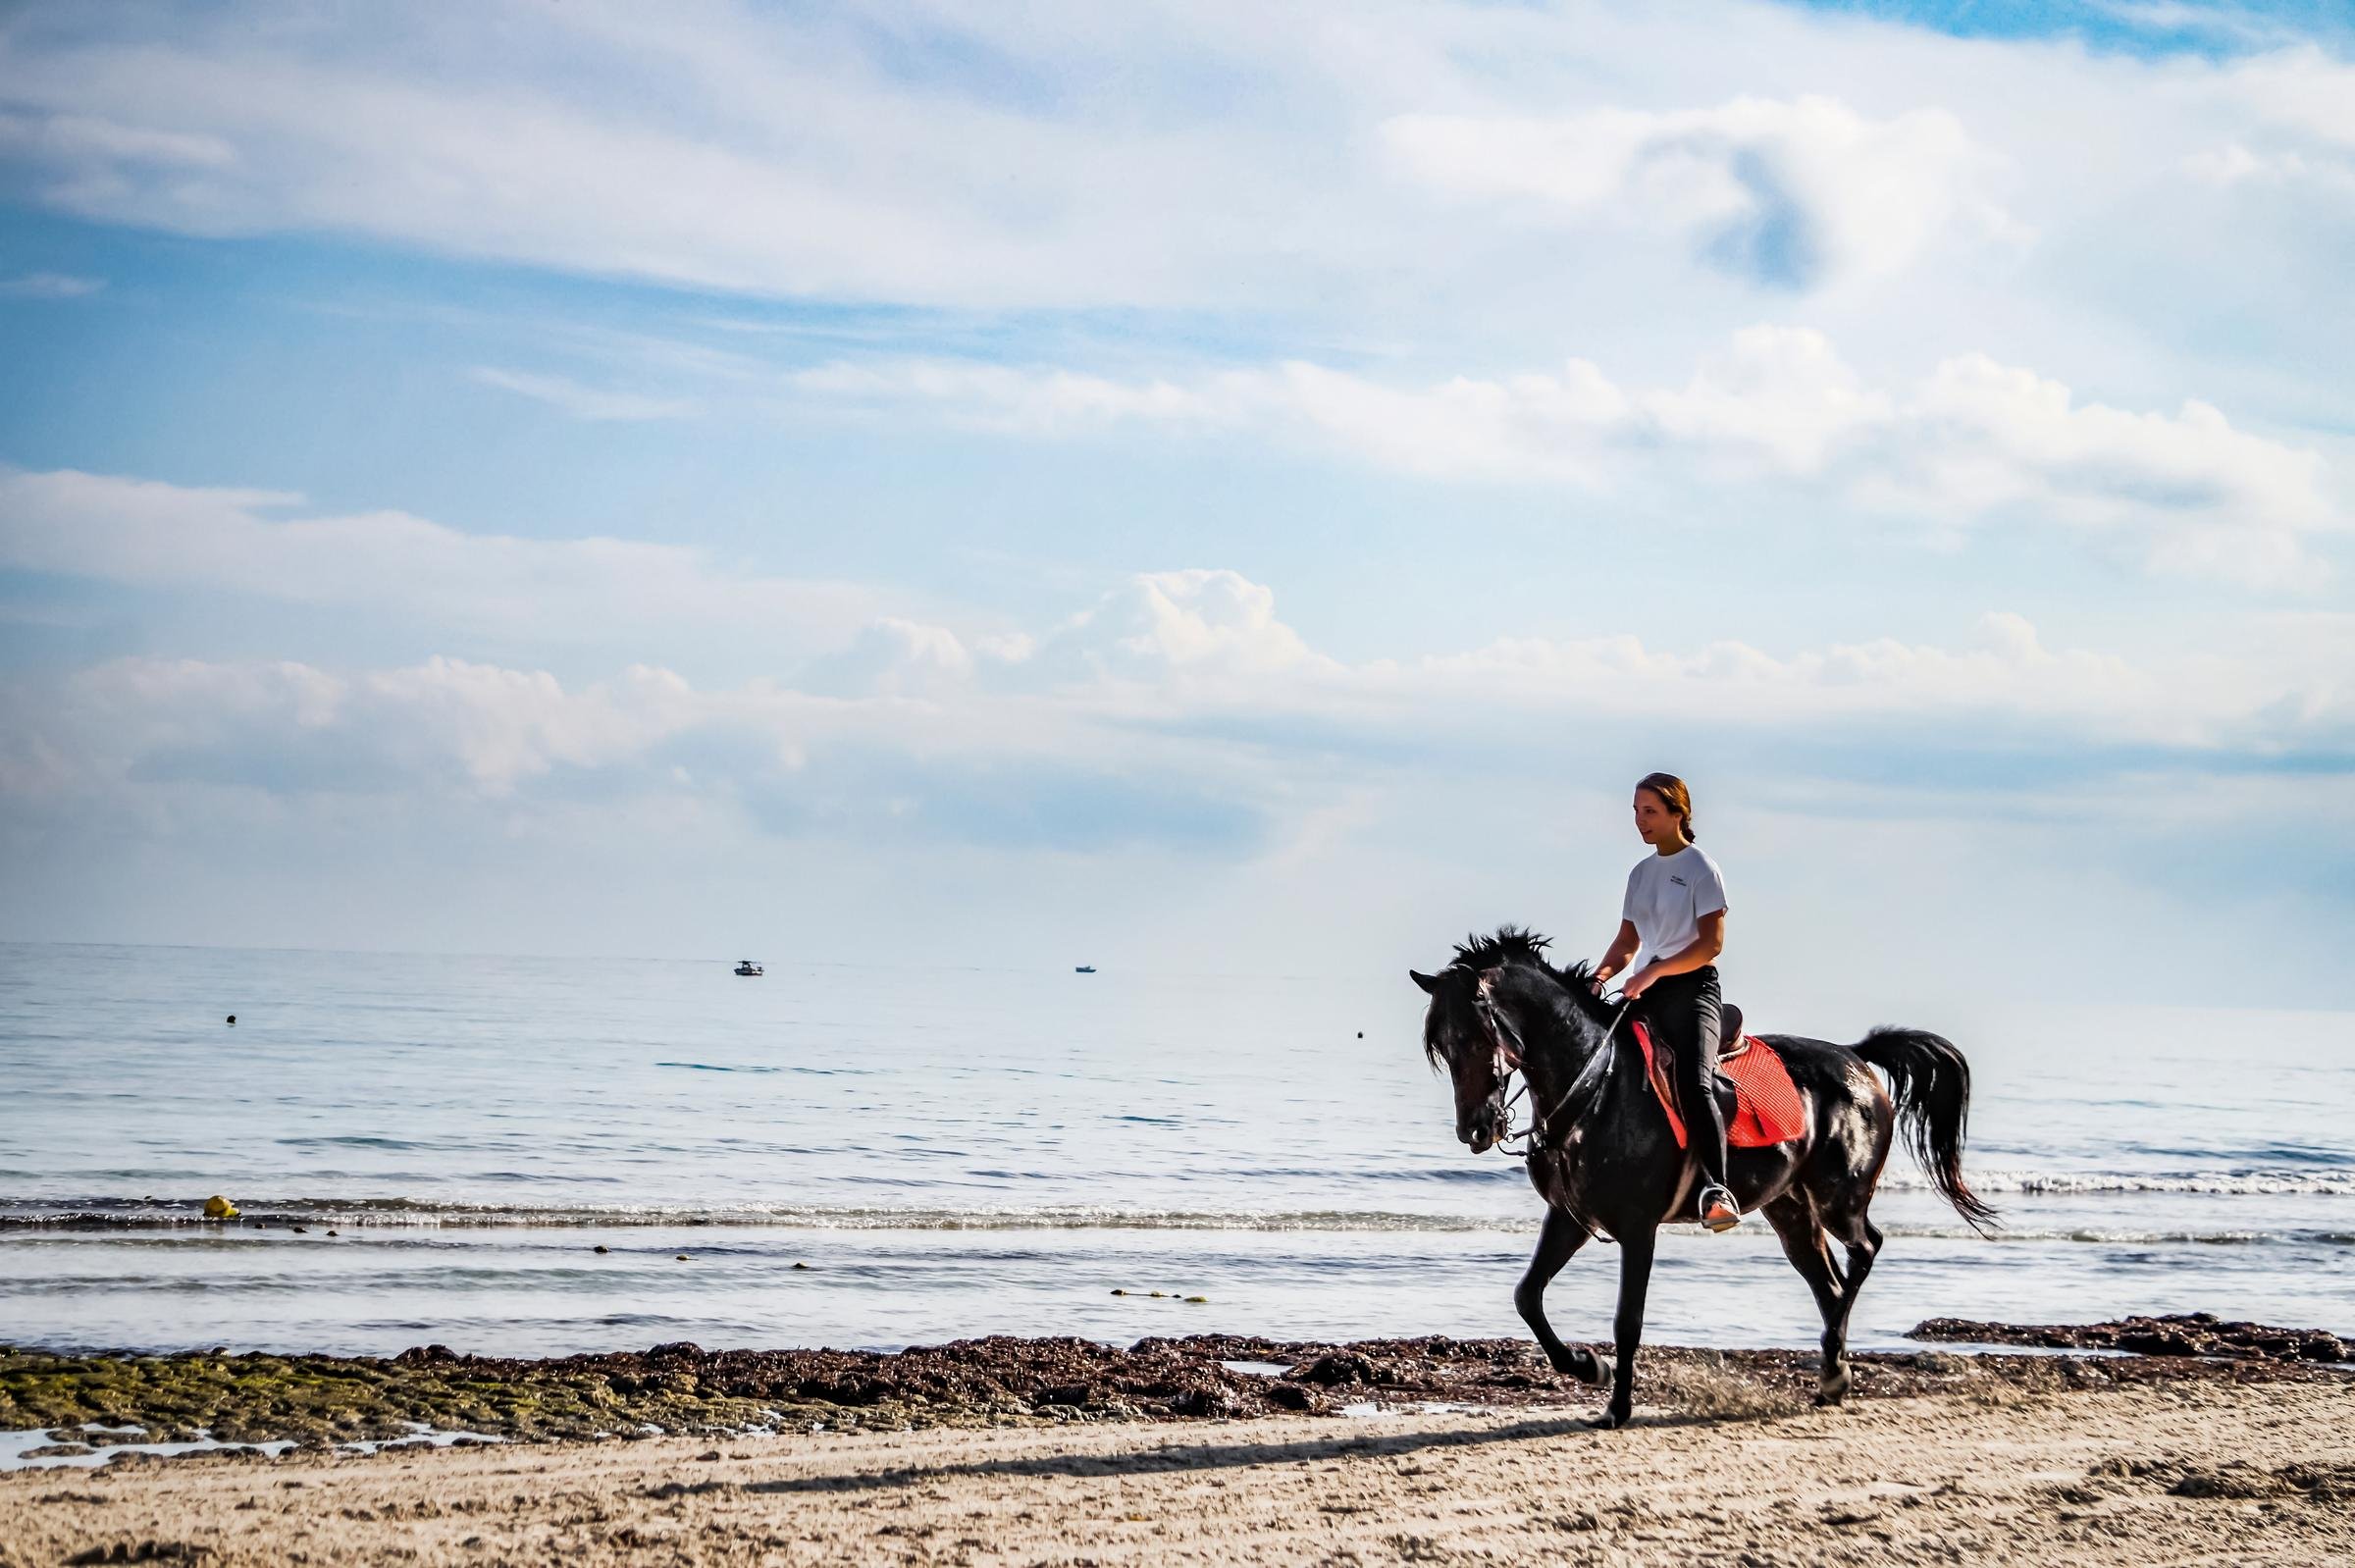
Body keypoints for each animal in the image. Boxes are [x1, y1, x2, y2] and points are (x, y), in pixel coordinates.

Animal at [1411, 927, 1993, 1428]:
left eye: (1476, 1036)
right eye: (1442, 1046)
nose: (1476, 1129)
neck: (1596, 1086)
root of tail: (1856, 1058)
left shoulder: (1637, 1228)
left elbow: (1627, 1320)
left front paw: (1617, 1407)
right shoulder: (1570, 1218)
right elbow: (1527, 1296)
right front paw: (1588, 1367)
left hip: (1839, 1197)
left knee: (1865, 1249)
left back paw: (1833, 1362)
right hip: (1789, 1208)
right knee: (1828, 1280)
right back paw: (1833, 1374)